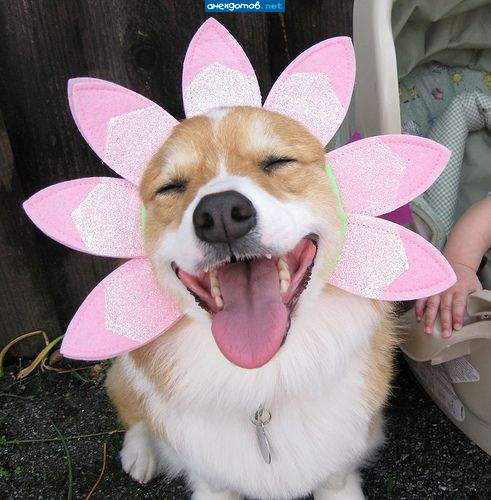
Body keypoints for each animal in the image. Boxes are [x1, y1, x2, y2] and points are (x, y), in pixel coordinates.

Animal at [106, 105, 396, 500]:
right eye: (171, 187)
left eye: (278, 161)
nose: (220, 214)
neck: (263, 382)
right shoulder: (212, 481)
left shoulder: (342, 458)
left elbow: (337, 479)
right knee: (128, 402)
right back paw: (140, 454)